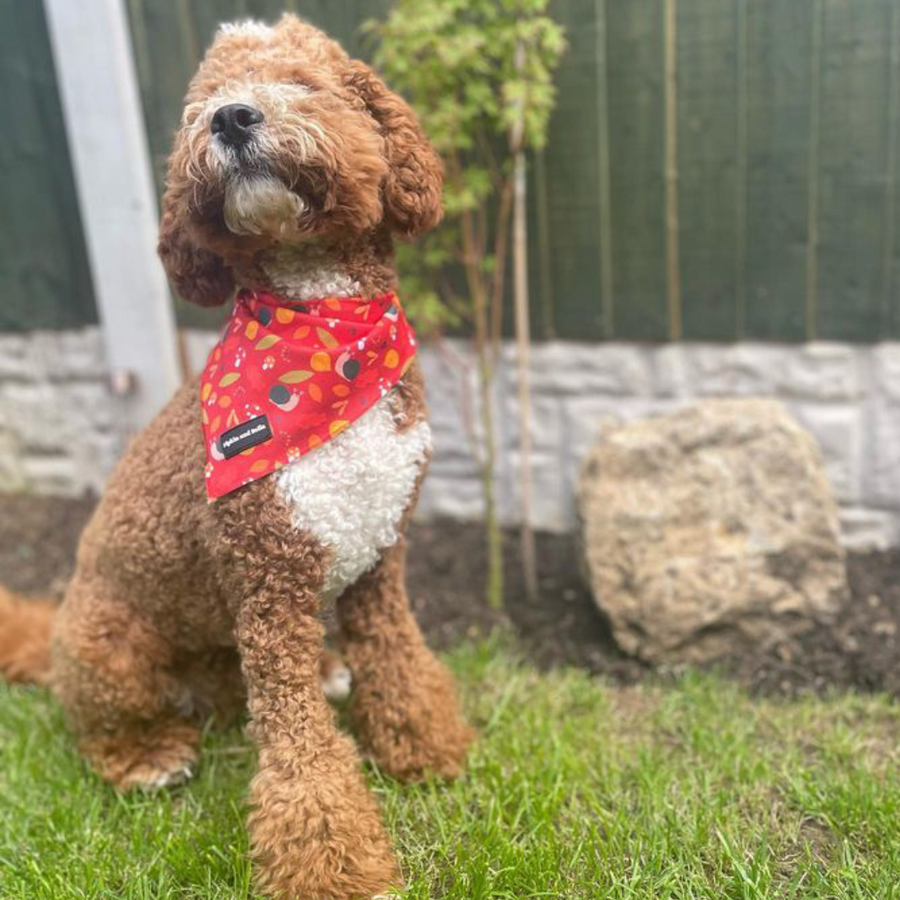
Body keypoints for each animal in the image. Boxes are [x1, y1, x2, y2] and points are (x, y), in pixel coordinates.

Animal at [0, 15, 474, 900]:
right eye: (199, 106)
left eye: (301, 83)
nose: (232, 118)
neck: (324, 343)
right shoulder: (268, 586)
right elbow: (299, 750)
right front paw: (335, 869)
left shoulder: (381, 557)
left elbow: (398, 656)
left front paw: (423, 744)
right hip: (112, 648)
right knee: (105, 733)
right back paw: (149, 757)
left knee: (230, 692)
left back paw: (327, 671)